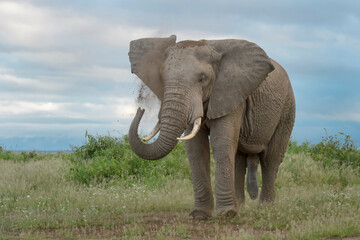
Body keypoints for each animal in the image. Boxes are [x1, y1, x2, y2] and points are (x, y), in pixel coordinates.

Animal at [126, 34, 296, 219]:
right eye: (162, 78)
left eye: (202, 79)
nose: (140, 109)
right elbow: (195, 147)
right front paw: (200, 215)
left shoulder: (231, 92)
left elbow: (220, 142)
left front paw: (226, 215)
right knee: (239, 159)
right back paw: (241, 206)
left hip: (287, 109)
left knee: (271, 158)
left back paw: (265, 208)